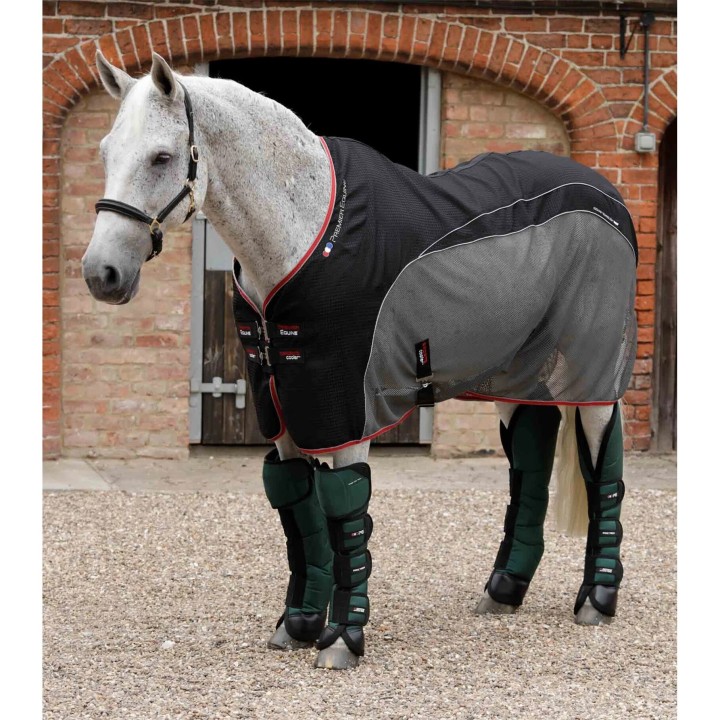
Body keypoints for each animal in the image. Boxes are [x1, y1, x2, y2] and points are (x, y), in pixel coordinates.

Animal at [83, 52, 636, 670]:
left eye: (161, 156)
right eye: (105, 151)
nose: (102, 274)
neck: (302, 235)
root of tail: (605, 192)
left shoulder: (343, 407)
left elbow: (345, 515)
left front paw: (343, 638)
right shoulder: (283, 406)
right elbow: (298, 511)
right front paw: (299, 623)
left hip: (592, 370)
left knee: (602, 461)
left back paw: (598, 597)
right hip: (515, 372)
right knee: (530, 456)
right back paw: (505, 590)